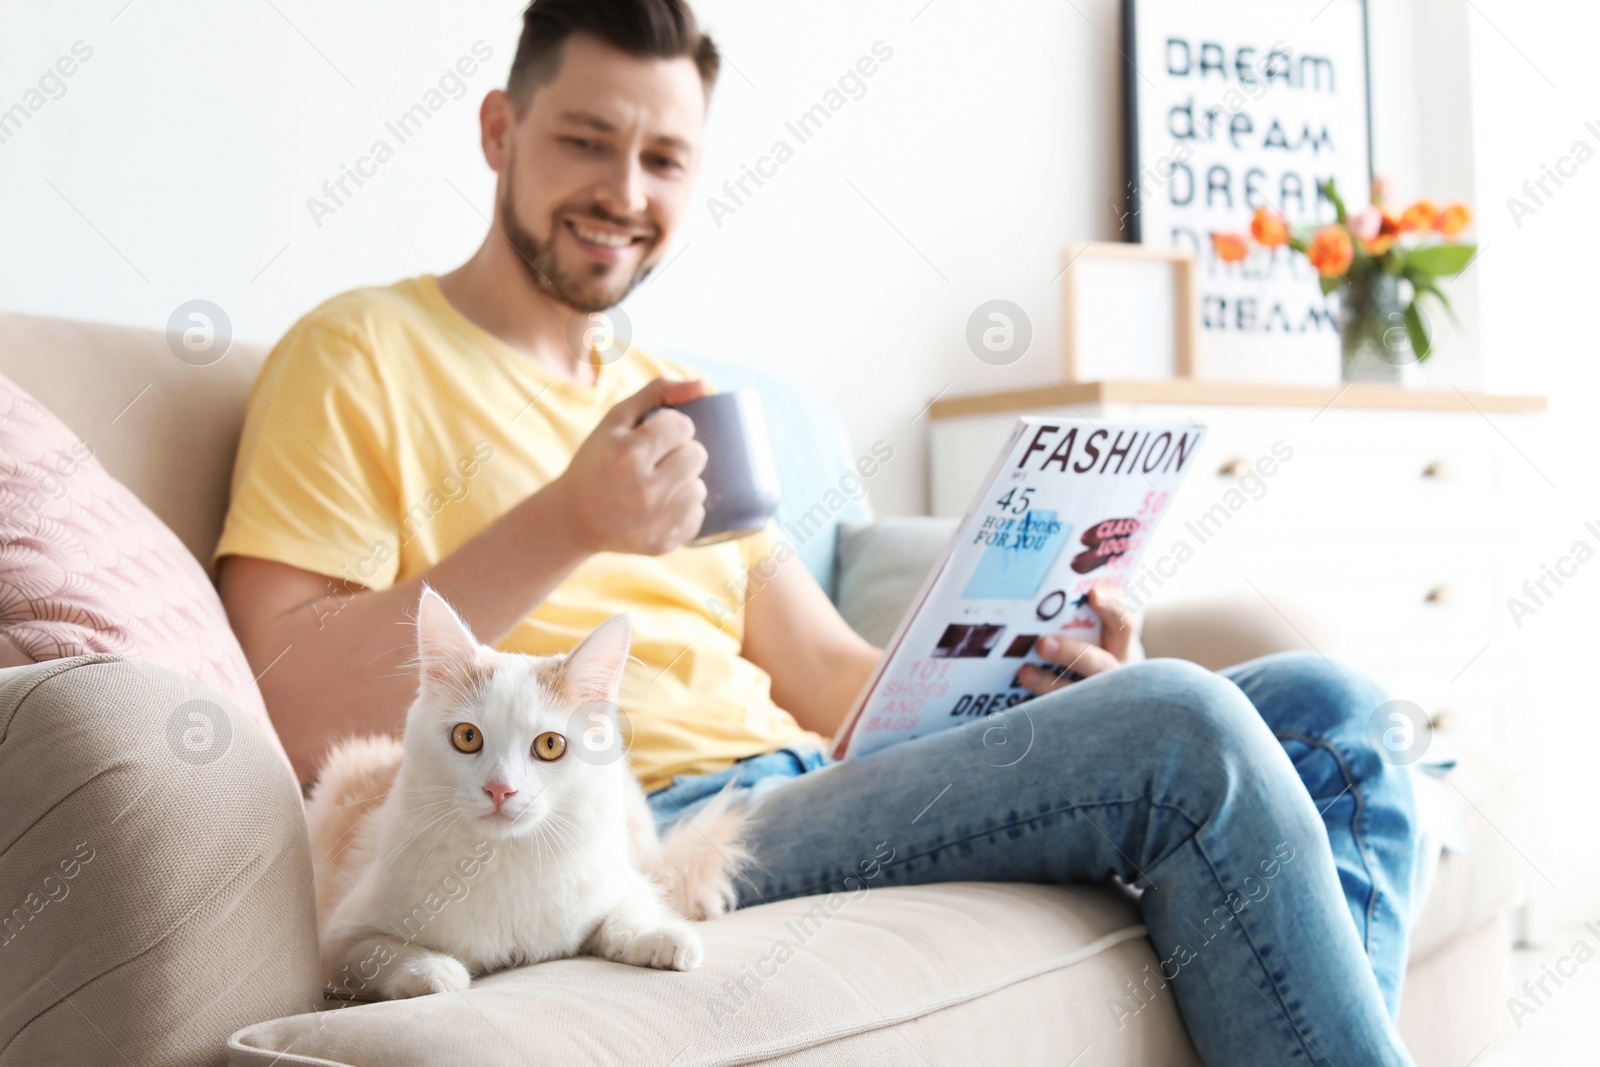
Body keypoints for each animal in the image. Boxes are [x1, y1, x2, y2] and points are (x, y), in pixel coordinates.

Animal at [304, 585, 748, 1004]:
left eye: (550, 745)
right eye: (467, 737)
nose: (500, 789)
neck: (505, 859)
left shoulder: (618, 883)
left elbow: (625, 916)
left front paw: (664, 938)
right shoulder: (339, 939)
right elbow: (384, 952)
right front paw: (432, 971)